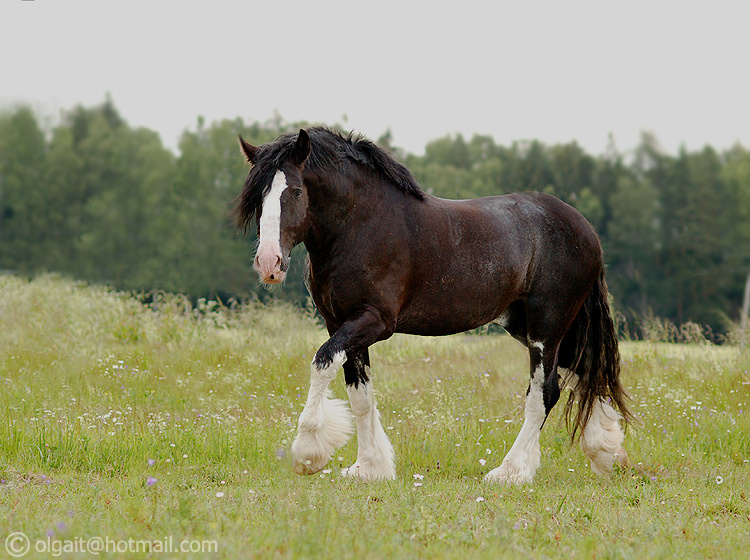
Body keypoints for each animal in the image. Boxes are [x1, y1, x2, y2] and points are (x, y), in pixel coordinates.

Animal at [235, 127, 632, 484]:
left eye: (295, 191)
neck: (361, 224)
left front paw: (308, 453)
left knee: (544, 393)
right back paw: (607, 452)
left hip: (546, 328)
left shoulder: (374, 321)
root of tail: (586, 229)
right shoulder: (342, 324)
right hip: (530, 325)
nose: (269, 263)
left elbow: (322, 361)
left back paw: (510, 472)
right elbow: (360, 395)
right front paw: (369, 468)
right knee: (585, 370)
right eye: (258, 197)